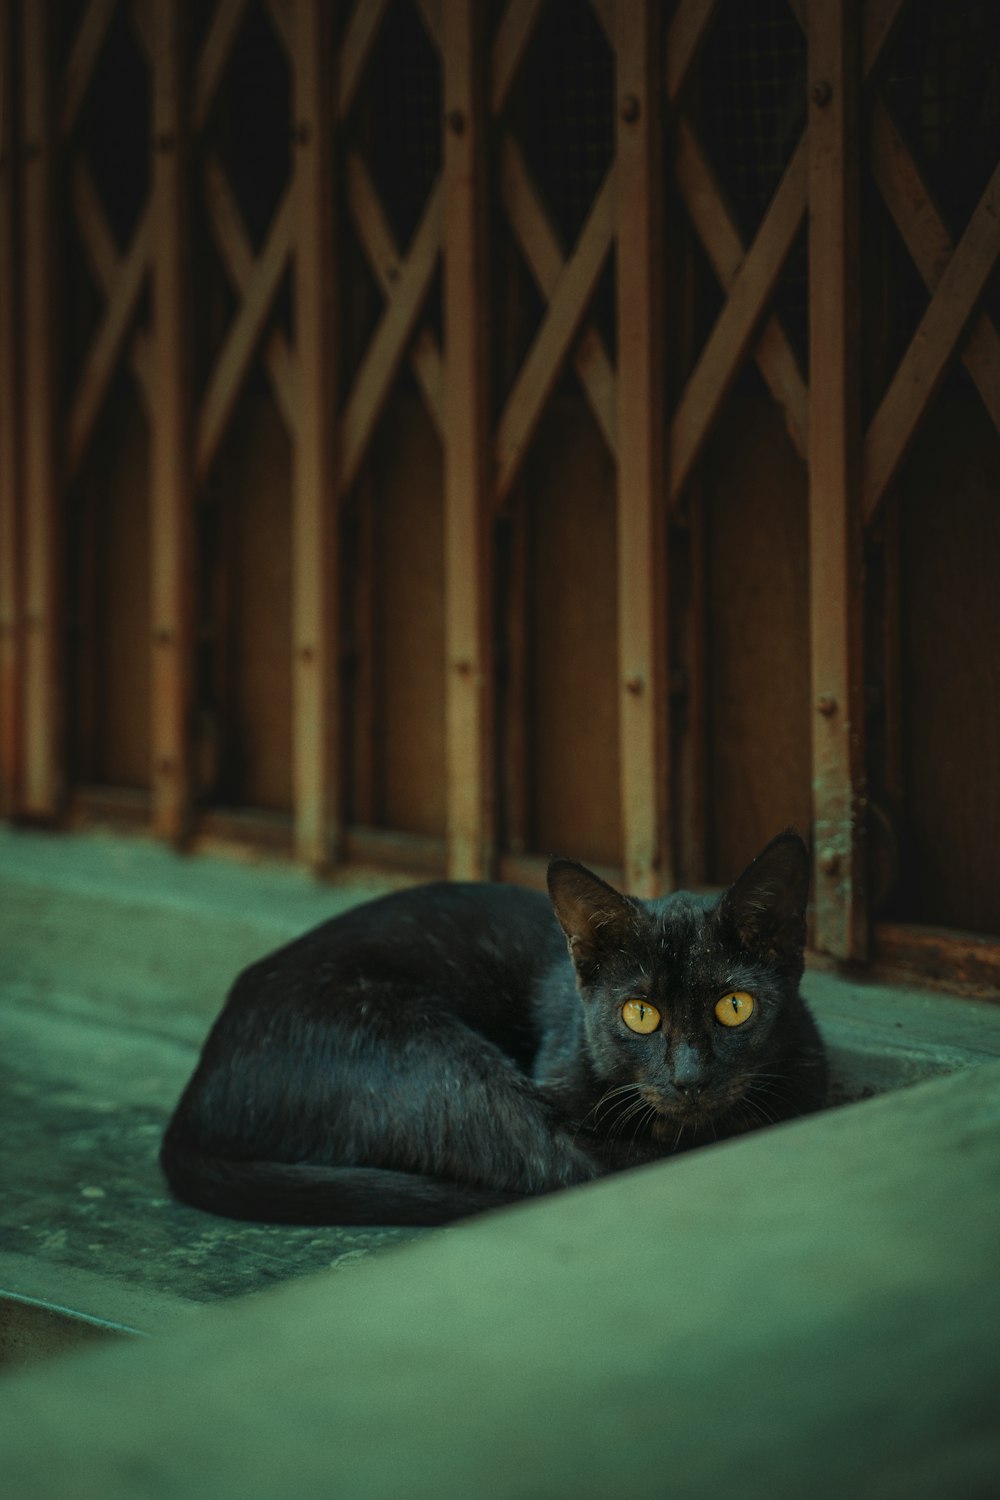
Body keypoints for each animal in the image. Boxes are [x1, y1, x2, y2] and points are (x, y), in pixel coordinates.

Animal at [162, 828, 827, 1224]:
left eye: (734, 1007)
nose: (690, 1078)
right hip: (434, 1056)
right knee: (553, 1166)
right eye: (640, 1014)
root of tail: (190, 1105)